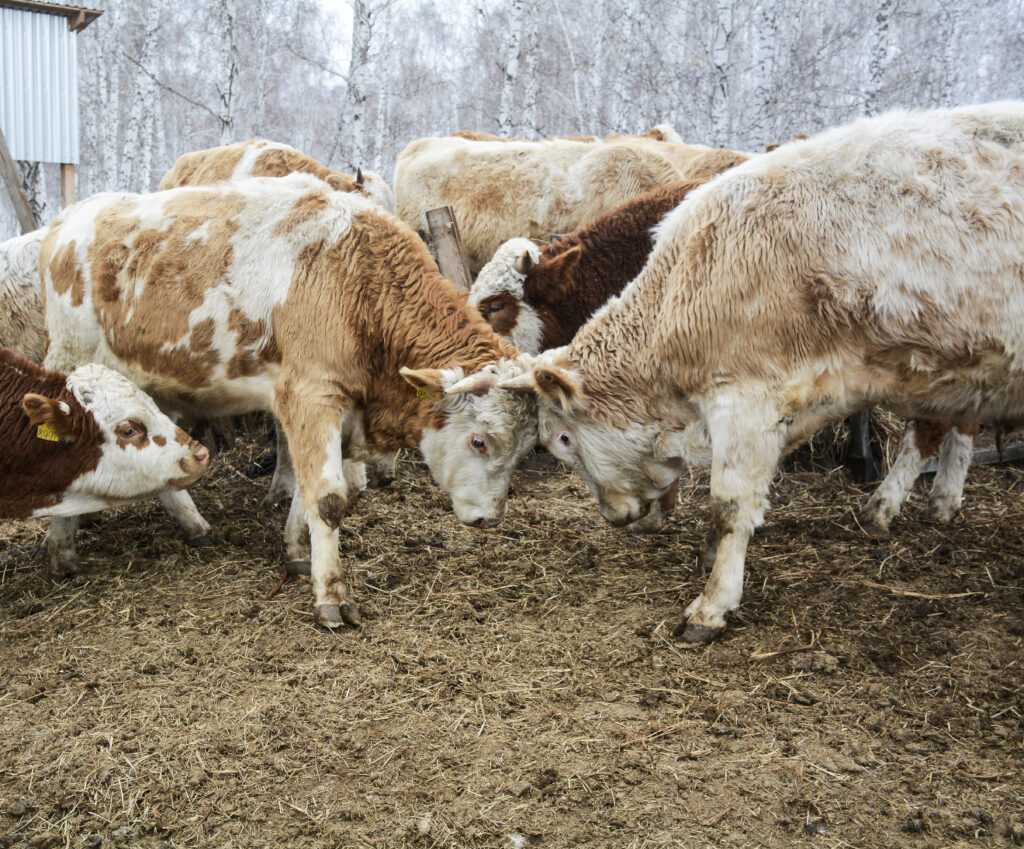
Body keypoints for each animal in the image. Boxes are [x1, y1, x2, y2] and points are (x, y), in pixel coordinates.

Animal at [39, 172, 536, 626]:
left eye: (524, 447)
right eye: (479, 441)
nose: (491, 519)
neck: (357, 281)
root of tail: (67, 222)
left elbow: (316, 487)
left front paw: (297, 549)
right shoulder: (313, 395)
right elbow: (330, 497)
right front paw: (331, 595)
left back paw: (193, 526)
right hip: (74, 364)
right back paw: (62, 552)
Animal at [499, 99, 1024, 643]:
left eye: (562, 440)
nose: (612, 515)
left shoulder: (745, 397)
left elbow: (731, 503)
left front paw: (712, 604)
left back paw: (886, 507)